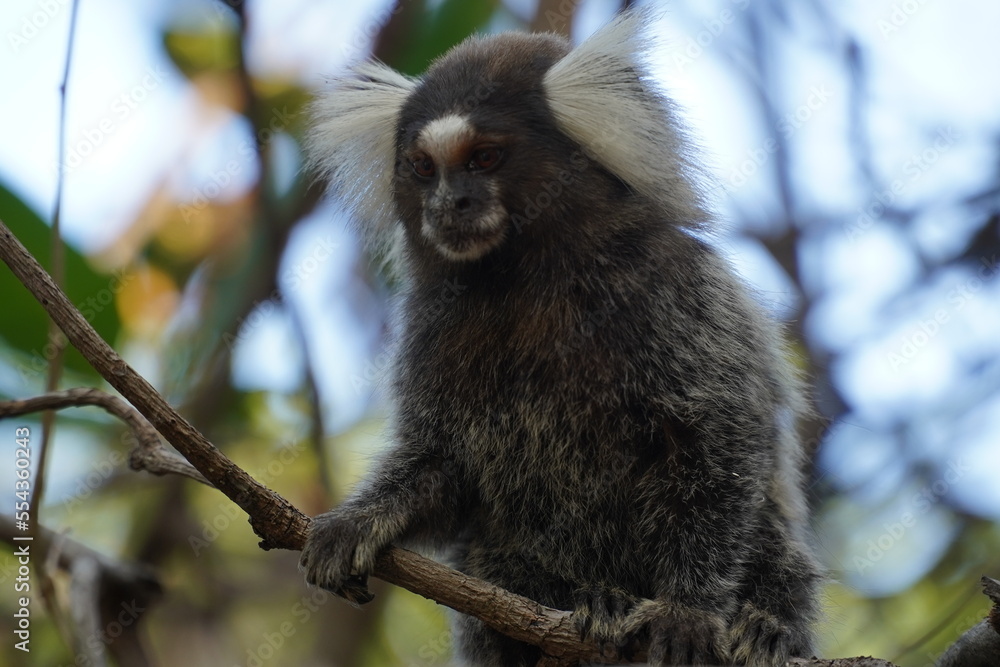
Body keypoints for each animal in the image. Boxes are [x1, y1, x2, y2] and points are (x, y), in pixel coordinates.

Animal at [299, 9, 822, 667]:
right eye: (424, 167)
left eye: (485, 158)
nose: (449, 205)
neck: (531, 279)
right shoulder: (428, 326)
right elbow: (444, 465)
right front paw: (362, 521)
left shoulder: (677, 288)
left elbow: (715, 442)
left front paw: (688, 609)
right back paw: (589, 605)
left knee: (774, 537)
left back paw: (764, 625)